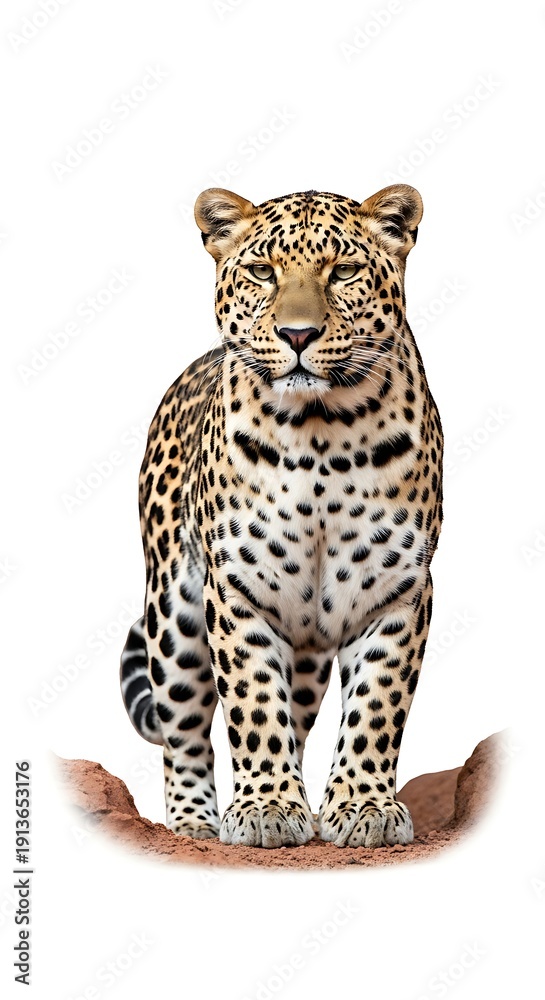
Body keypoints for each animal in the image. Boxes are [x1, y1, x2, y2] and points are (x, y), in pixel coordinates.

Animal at [120, 183, 443, 849]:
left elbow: (376, 705)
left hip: (309, 647)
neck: (322, 430)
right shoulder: (235, 589)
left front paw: (363, 806)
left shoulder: (399, 590)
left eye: (342, 272)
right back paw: (196, 823)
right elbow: (251, 702)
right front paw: (266, 808)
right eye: (263, 272)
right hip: (173, 617)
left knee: (297, 712)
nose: (298, 334)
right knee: (183, 732)